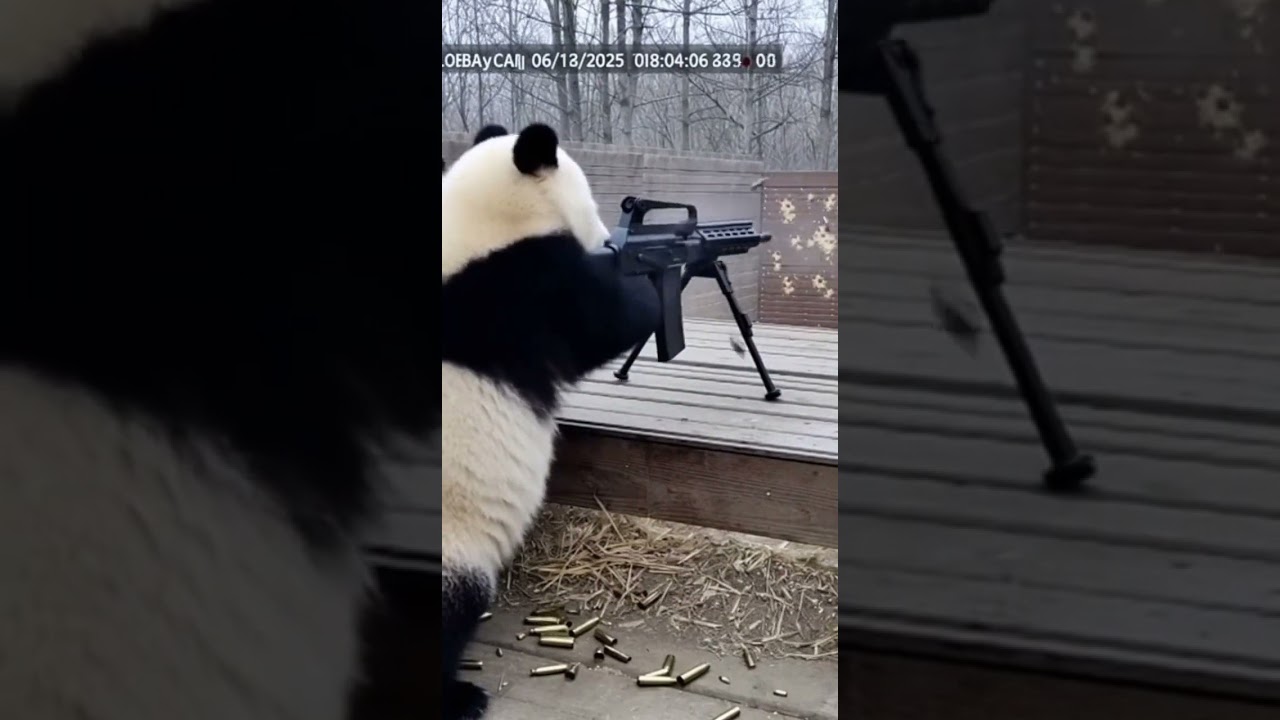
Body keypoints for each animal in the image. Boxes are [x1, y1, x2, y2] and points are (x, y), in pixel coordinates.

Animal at [441, 122, 659, 719]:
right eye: (592, 203)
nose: (609, 238)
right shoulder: (523, 287)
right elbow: (604, 324)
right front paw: (650, 286)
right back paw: (460, 696)